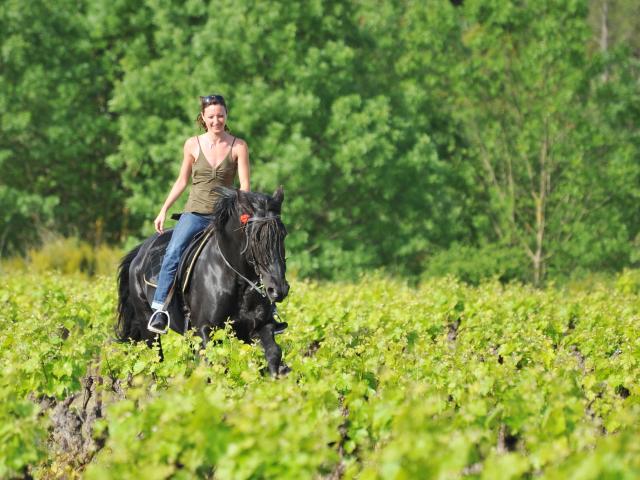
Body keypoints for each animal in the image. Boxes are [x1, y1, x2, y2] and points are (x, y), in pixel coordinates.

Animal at [115, 186, 290, 376]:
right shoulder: (206, 330)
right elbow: (213, 366)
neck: (238, 281)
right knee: (154, 359)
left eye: (283, 234)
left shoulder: (259, 327)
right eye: (255, 236)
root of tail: (140, 252)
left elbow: (273, 354)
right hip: (148, 326)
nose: (278, 289)